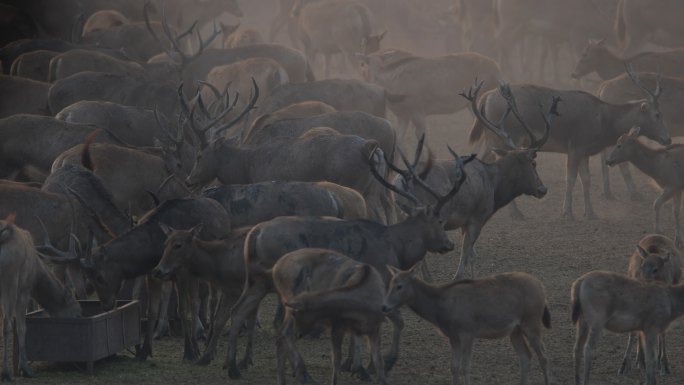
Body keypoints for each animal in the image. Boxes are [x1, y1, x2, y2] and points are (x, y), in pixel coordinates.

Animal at [0, 213, 82, 380]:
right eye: (77, 314)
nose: (81, 315)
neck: (36, 273)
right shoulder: (24, 289)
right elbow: (21, 327)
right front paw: (25, 368)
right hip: (10, 280)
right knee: (6, 324)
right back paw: (6, 372)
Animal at [274, 248, 390, 384]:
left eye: (296, 313)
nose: (299, 333)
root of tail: (275, 269)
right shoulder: (338, 324)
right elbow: (336, 359)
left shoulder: (374, 327)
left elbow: (378, 359)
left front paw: (375, 377)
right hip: (288, 297)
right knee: (284, 332)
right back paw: (304, 375)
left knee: (281, 337)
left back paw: (284, 379)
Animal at [382, 264, 552, 384]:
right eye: (390, 284)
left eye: (400, 286)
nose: (384, 306)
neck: (440, 311)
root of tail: (541, 287)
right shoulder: (453, 336)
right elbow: (454, 366)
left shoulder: (467, 332)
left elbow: (466, 366)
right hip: (515, 330)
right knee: (525, 356)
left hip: (532, 321)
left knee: (543, 356)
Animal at [624, 234, 680, 376]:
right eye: (642, 266)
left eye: (656, 269)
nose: (643, 283)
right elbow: (634, 331)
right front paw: (625, 365)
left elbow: (662, 334)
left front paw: (665, 364)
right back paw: (641, 360)